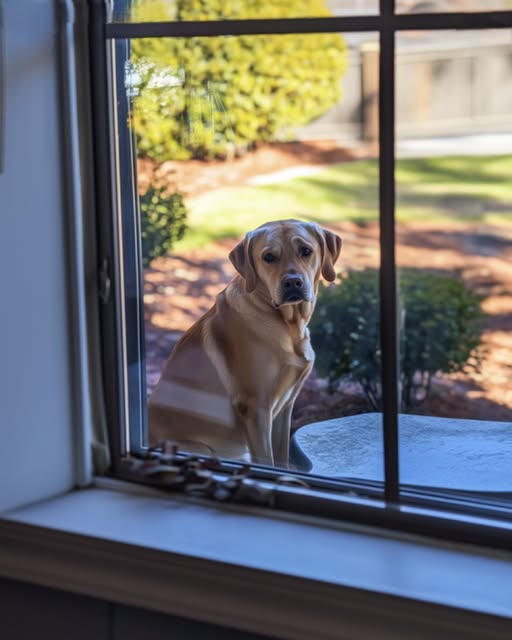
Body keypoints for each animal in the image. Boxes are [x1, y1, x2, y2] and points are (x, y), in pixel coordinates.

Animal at [148, 219, 342, 464]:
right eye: (269, 257)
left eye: (306, 251)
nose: (293, 282)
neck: (287, 324)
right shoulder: (256, 407)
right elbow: (267, 459)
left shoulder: (285, 408)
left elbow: (282, 459)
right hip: (203, 450)